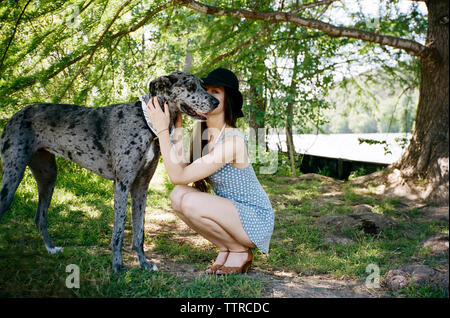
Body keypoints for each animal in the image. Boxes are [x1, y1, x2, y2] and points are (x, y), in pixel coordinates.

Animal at [0, 71, 218, 274]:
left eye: (203, 85)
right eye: (190, 86)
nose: (216, 102)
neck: (146, 121)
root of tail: (13, 116)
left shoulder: (141, 186)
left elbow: (140, 231)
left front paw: (144, 263)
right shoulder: (122, 184)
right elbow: (119, 230)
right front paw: (117, 266)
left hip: (48, 176)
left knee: (40, 217)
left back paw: (51, 249)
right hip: (13, 175)